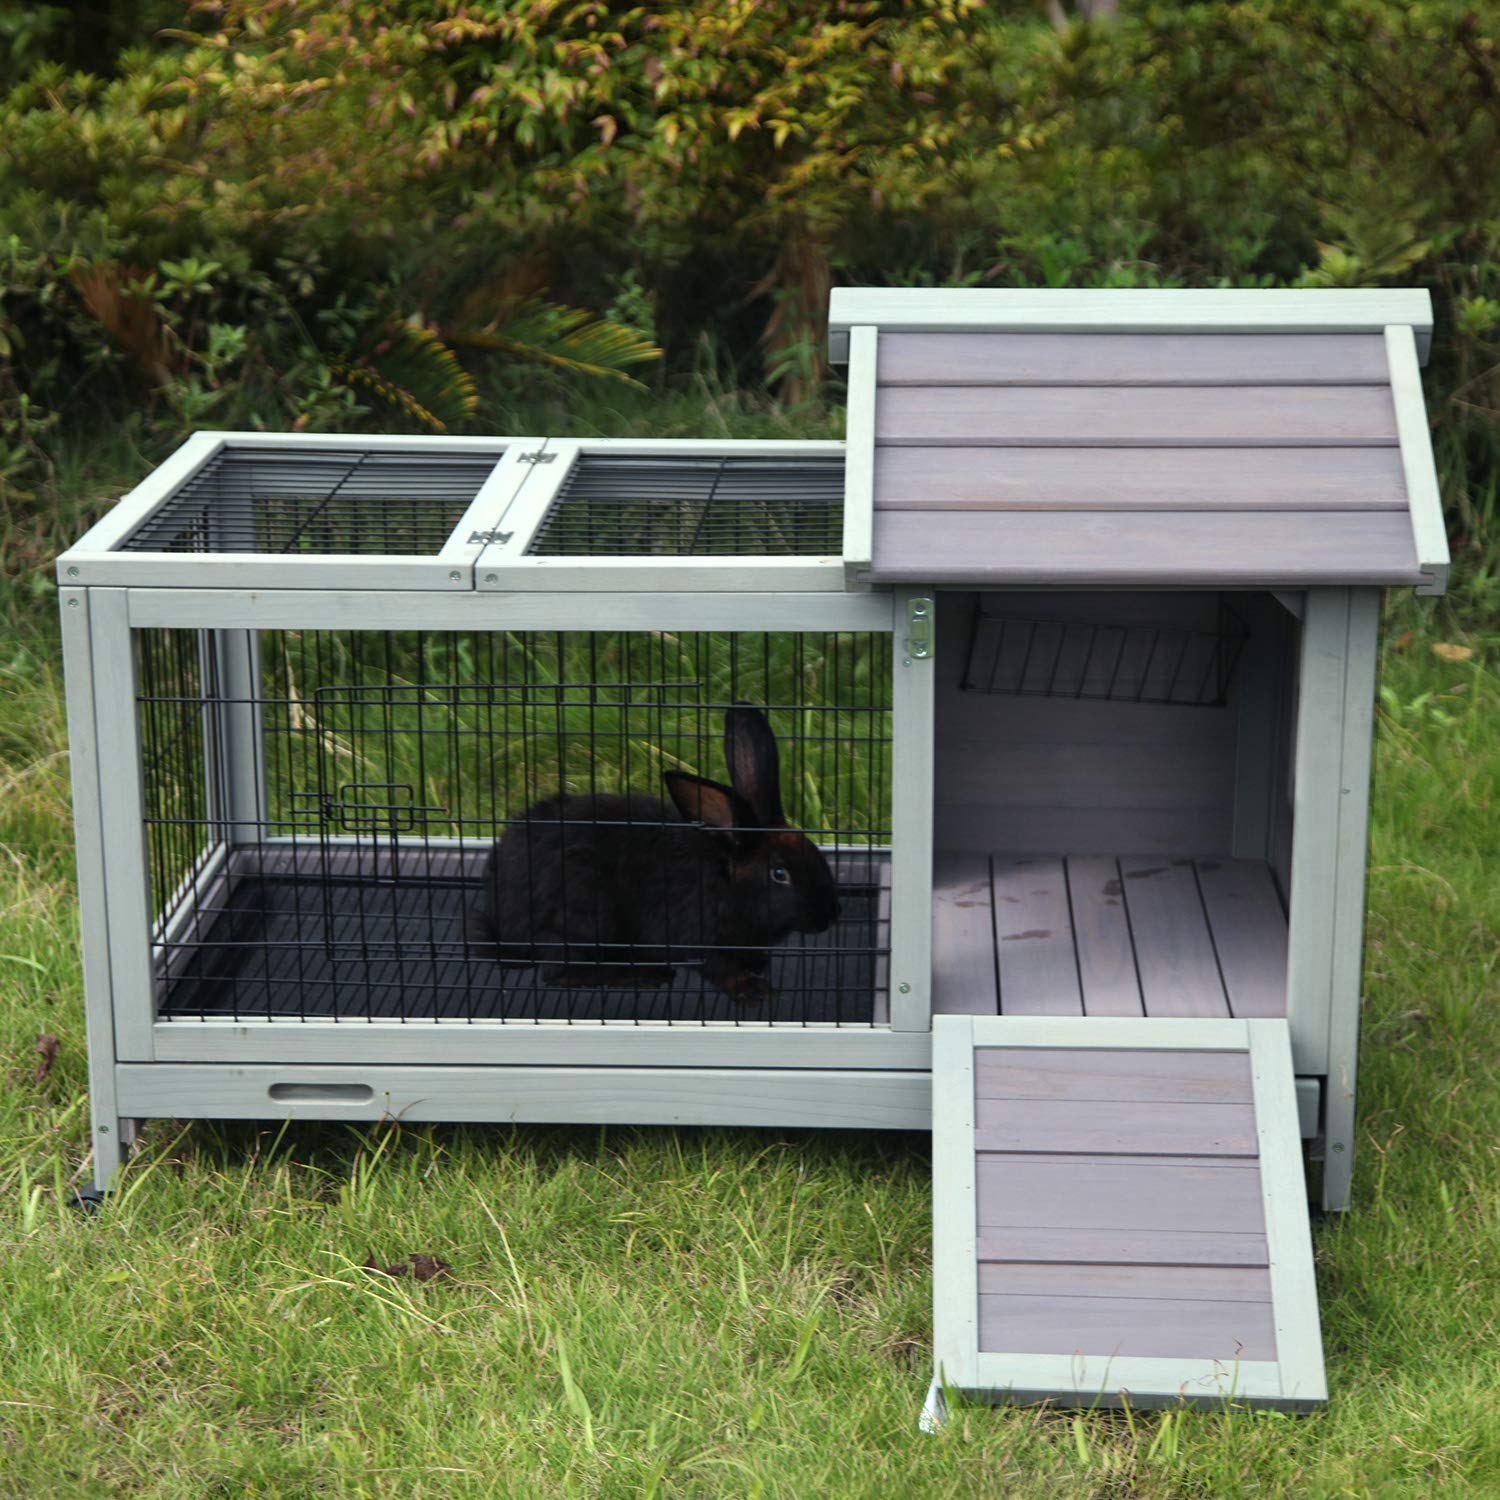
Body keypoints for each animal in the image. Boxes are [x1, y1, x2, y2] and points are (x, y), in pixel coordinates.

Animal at [465, 705, 840, 1003]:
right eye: (780, 874)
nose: (828, 918)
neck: (728, 881)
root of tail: (503, 923)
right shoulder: (702, 935)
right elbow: (718, 969)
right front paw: (754, 991)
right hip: (586, 917)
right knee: (560, 973)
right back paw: (644, 974)